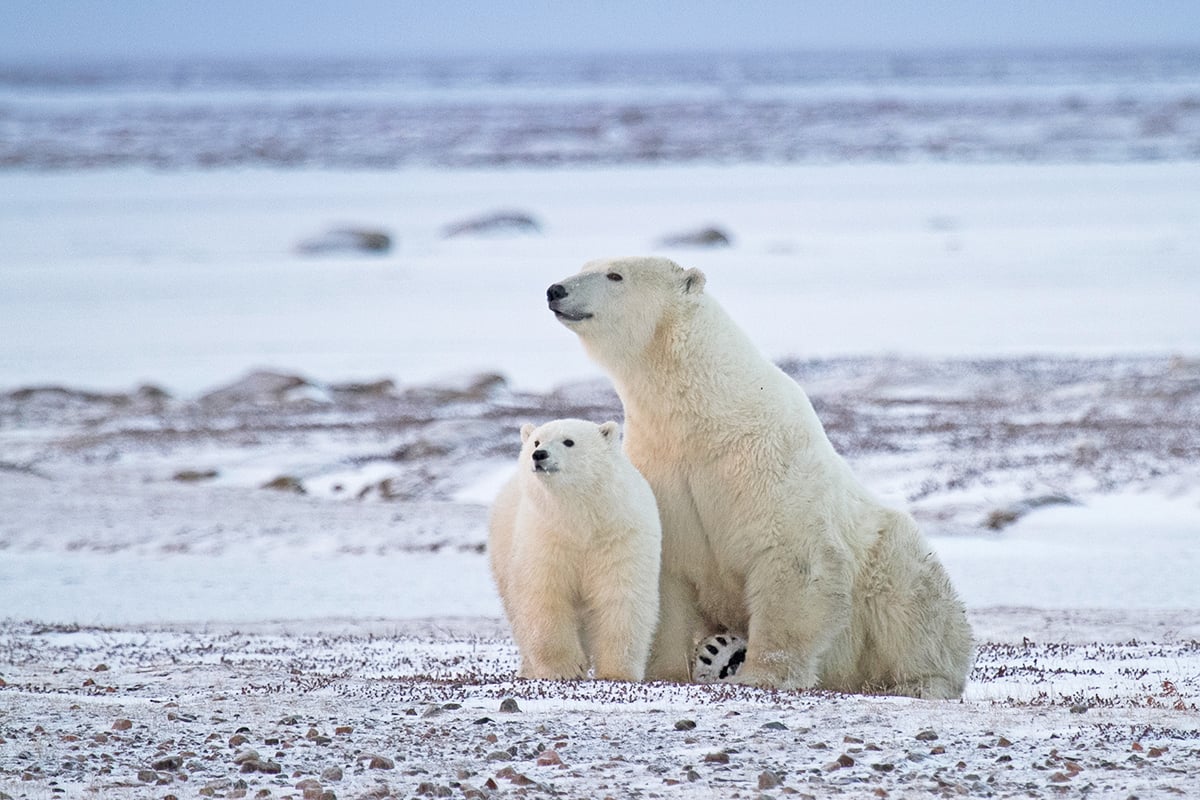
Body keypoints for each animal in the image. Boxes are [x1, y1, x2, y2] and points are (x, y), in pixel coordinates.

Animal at [547, 257, 974, 700]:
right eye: (586, 265)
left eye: (615, 274)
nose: (555, 290)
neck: (704, 415)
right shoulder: (663, 473)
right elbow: (667, 574)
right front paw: (665, 670)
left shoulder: (765, 461)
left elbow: (790, 558)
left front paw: (763, 674)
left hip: (888, 559)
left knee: (910, 604)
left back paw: (919, 681)